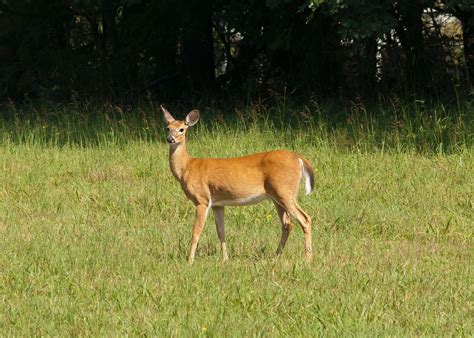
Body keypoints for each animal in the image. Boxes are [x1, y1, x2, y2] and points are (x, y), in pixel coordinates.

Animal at [162, 105, 314, 264]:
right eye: (168, 128)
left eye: (181, 129)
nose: (170, 139)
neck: (187, 167)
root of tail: (299, 159)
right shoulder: (217, 204)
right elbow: (221, 232)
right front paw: (225, 259)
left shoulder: (202, 200)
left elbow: (196, 232)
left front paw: (190, 260)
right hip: (276, 197)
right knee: (287, 224)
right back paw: (276, 256)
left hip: (285, 191)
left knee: (305, 219)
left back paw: (308, 258)